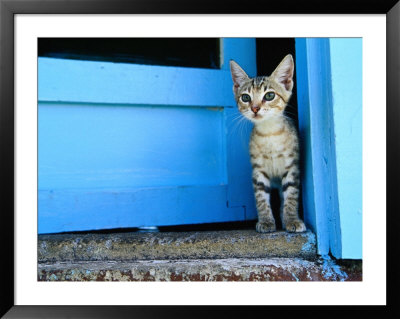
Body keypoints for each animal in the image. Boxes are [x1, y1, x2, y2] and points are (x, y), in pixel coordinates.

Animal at [228, 55, 306, 234]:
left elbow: (291, 195)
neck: (269, 134)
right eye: (246, 97)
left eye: (269, 95)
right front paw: (266, 221)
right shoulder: (258, 170)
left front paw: (292, 219)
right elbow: (261, 198)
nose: (255, 108)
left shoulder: (292, 167)